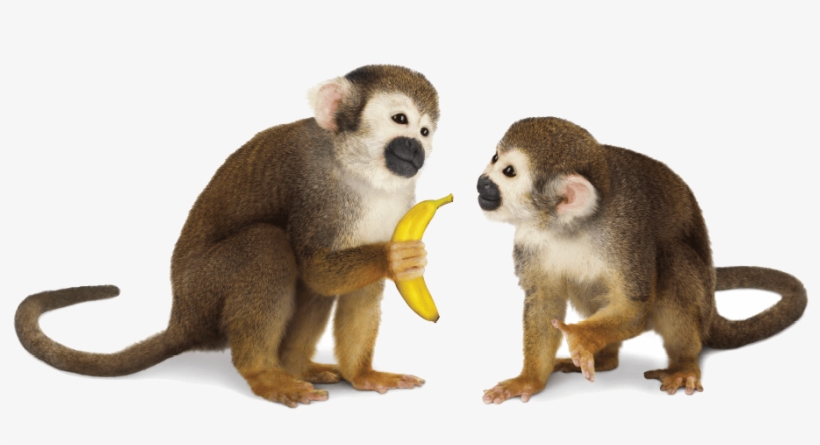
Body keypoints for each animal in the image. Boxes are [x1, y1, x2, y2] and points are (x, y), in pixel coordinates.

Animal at [15, 64, 439, 408]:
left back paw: (294, 366)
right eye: (400, 119)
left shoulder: (400, 202)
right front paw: (394, 257)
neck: (359, 170)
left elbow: (359, 290)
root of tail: (182, 319)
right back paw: (262, 373)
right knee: (267, 246)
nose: (416, 149)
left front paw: (363, 376)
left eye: (425, 131)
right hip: (204, 290)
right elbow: (317, 268)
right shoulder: (318, 188)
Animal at [477, 117, 807, 403]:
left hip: (699, 301)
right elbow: (544, 301)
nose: (482, 182)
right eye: (494, 157)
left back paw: (683, 364)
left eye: (509, 172)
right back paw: (606, 359)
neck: (569, 226)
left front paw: (581, 337)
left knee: (673, 259)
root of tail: (711, 311)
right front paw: (529, 381)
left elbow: (634, 306)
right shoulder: (529, 239)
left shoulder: (626, 231)